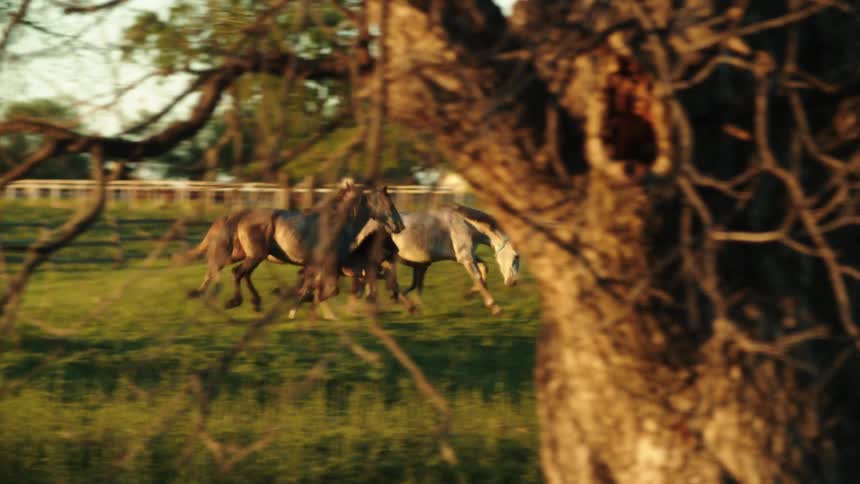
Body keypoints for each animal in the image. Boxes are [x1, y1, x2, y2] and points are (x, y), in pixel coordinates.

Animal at [177, 183, 404, 312]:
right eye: (390, 205)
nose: (401, 226)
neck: (336, 223)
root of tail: (240, 215)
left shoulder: (321, 265)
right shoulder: (328, 264)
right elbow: (328, 289)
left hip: (241, 254)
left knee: (225, 271)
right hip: (254, 256)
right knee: (236, 273)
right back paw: (235, 301)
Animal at [357, 204, 519, 315]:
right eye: (516, 257)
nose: (513, 282)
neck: (464, 224)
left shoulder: (467, 255)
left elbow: (484, 268)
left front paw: (469, 294)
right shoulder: (465, 257)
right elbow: (478, 277)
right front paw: (494, 307)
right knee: (386, 282)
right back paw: (406, 306)